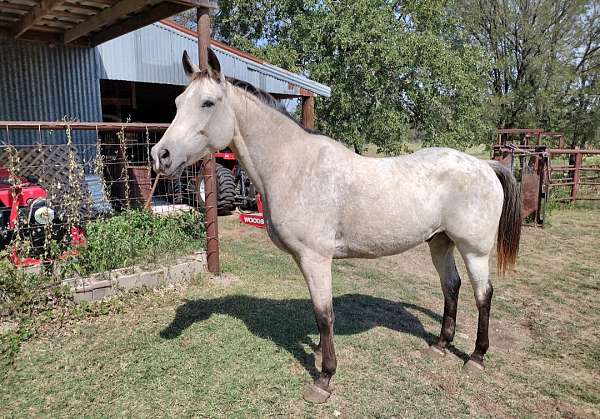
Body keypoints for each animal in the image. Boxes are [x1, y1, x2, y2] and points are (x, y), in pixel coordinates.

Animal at [152, 49, 524, 404]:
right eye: (177, 102)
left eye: (208, 103)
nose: (160, 156)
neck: (295, 167)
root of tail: (485, 165)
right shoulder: (308, 260)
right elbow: (320, 313)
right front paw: (319, 352)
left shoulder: (316, 258)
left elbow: (324, 314)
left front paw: (324, 378)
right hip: (439, 242)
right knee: (451, 287)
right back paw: (441, 345)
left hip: (474, 250)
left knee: (483, 294)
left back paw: (476, 357)